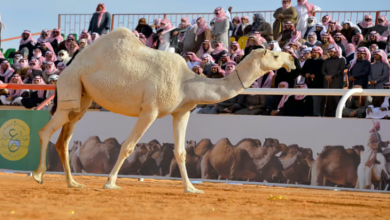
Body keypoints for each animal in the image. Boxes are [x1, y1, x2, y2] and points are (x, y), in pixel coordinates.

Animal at [32, 26, 296, 193]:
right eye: (274, 55)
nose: (292, 60)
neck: (186, 82)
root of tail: (66, 68)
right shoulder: (150, 110)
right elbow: (128, 146)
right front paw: (110, 183)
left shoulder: (181, 112)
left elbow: (181, 152)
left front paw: (191, 189)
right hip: (70, 89)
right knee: (46, 131)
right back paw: (37, 175)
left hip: (82, 98)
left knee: (64, 139)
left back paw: (73, 183)